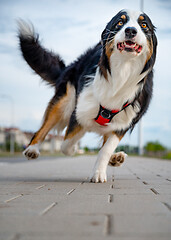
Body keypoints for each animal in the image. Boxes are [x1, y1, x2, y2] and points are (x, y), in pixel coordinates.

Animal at [17, 9, 158, 182]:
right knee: (44, 127)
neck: (122, 71)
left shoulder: (123, 123)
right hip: (65, 100)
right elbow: (66, 144)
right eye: (120, 22)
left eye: (143, 25)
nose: (131, 30)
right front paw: (77, 148)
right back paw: (32, 149)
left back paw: (115, 158)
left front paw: (99, 172)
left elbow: (105, 149)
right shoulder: (79, 112)